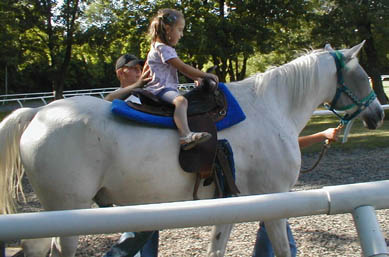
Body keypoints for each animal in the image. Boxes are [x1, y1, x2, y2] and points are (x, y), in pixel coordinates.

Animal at [0, 41, 382, 255]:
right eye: (361, 74)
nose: (378, 113)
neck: (271, 107)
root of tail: (39, 114)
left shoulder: (231, 202)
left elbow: (217, 247)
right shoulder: (274, 202)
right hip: (66, 210)